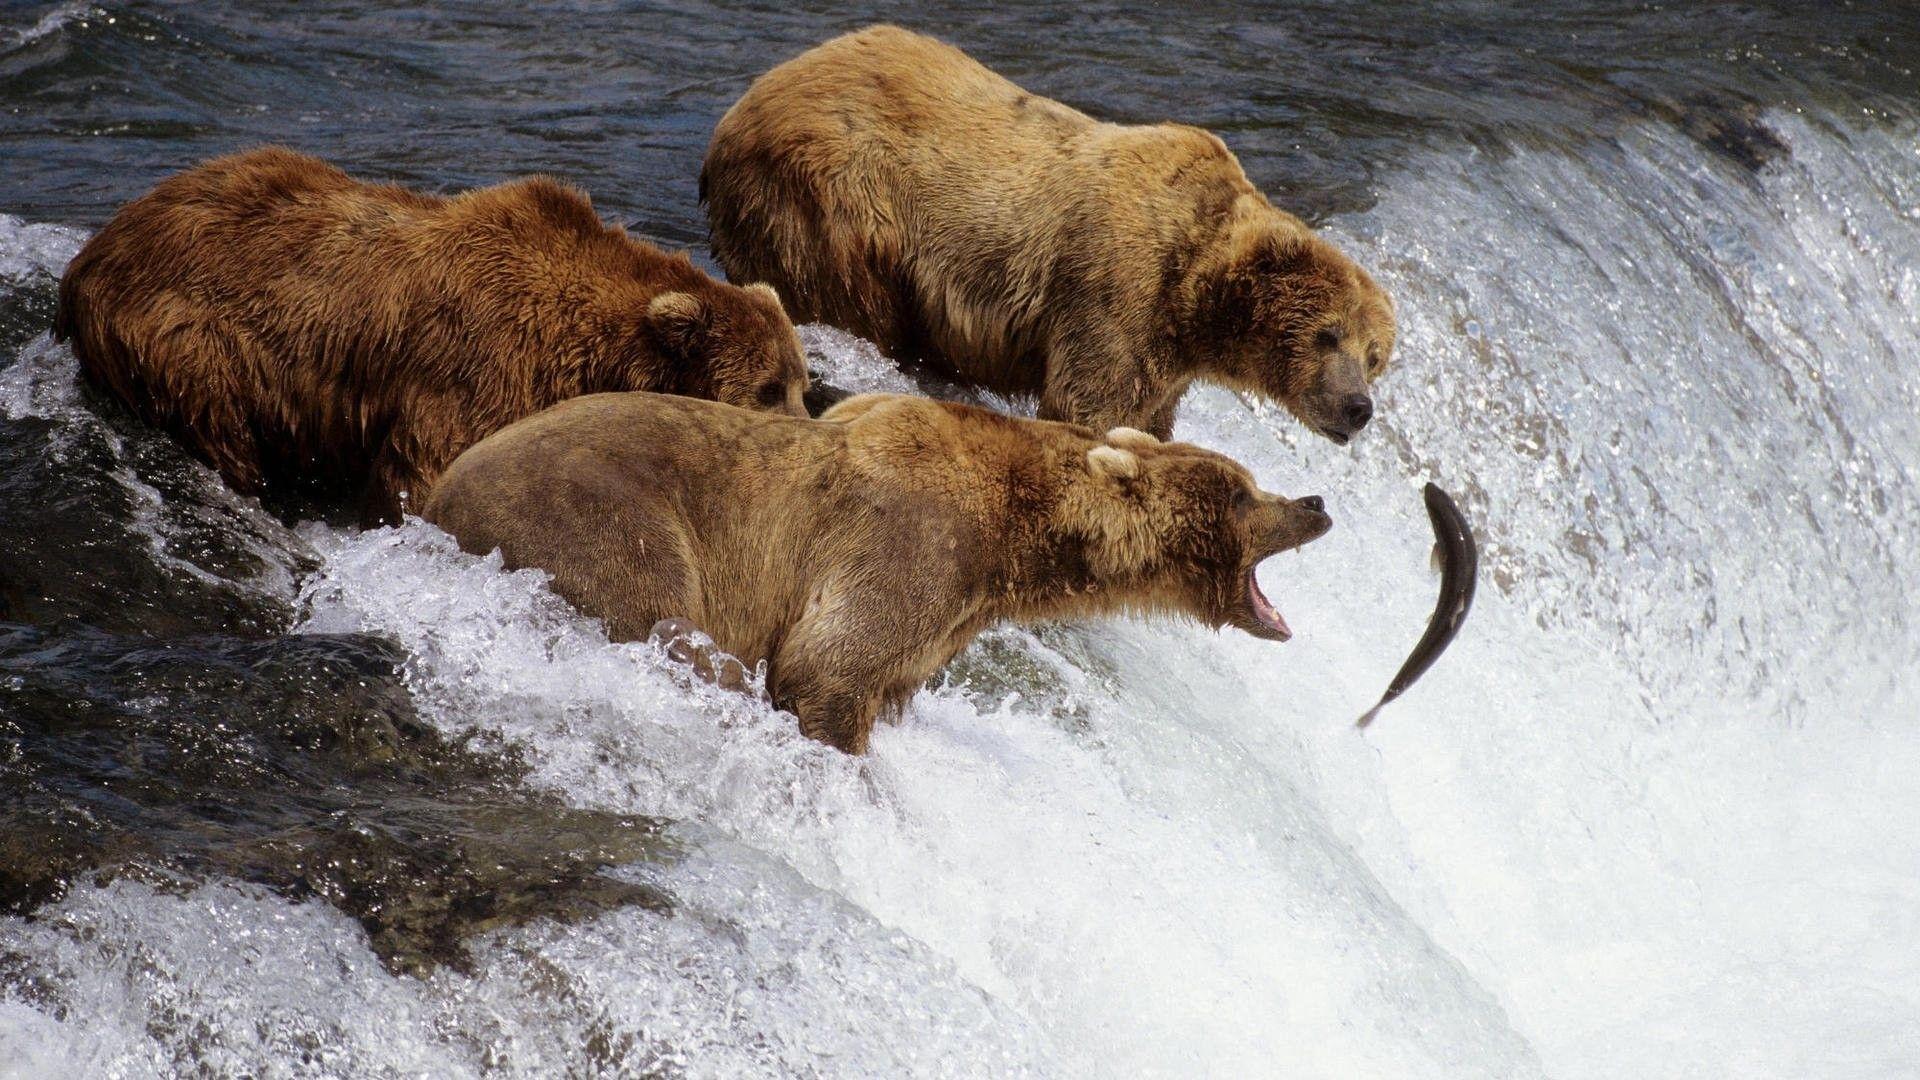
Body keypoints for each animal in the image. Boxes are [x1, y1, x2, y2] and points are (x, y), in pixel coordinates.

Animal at [55, 146, 812, 523]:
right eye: (766, 388)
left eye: (802, 384)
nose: (808, 434)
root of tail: (90, 255)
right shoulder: (476, 367)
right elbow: (425, 472)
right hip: (188, 335)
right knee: (219, 424)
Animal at [423, 390, 1332, 753]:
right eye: (1243, 491)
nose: (1316, 502)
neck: (1018, 538)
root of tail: (435, 496)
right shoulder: (910, 543)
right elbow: (828, 664)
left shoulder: (948, 614)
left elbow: (887, 678)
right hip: (601, 516)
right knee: (664, 615)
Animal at [701, 24, 1396, 444]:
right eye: (1328, 334)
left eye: (1374, 356)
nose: (1358, 408)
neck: (1195, 295)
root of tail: (744, 103)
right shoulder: (1116, 290)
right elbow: (1089, 405)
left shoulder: (1167, 358)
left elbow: (1150, 418)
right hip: (833, 200)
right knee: (849, 297)